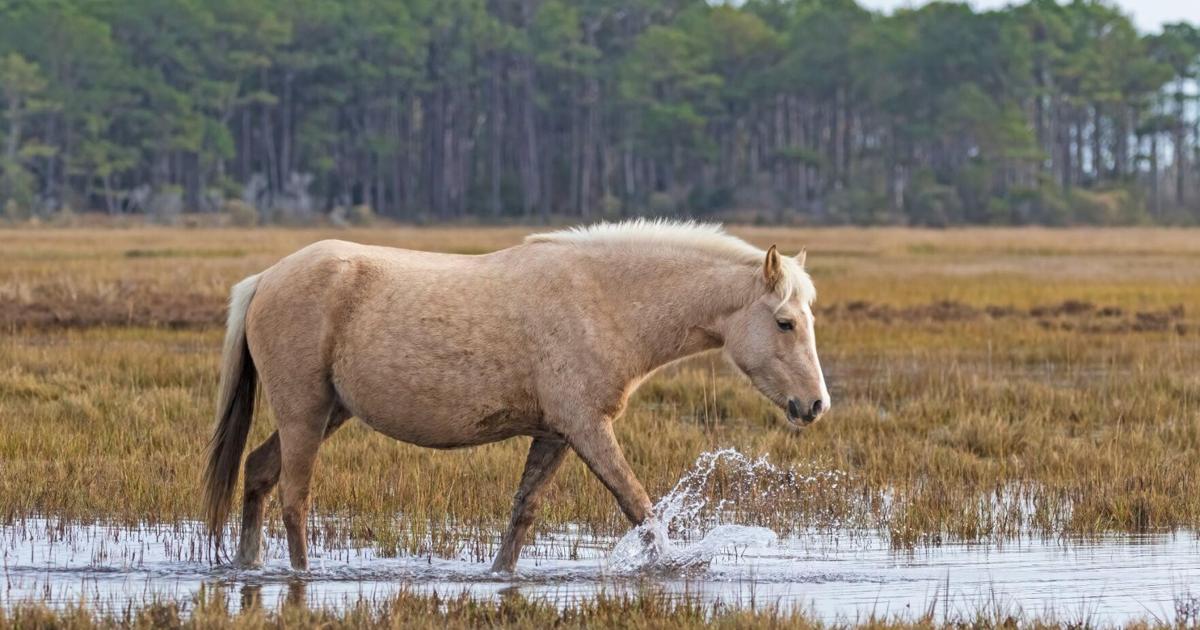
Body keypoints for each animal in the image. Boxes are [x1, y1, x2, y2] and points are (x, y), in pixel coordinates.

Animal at [202, 220, 830, 572]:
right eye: (784, 323)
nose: (816, 405)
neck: (604, 300)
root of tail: (266, 278)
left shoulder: (554, 435)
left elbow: (523, 514)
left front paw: (499, 578)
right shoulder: (587, 429)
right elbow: (640, 508)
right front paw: (675, 569)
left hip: (325, 414)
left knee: (257, 473)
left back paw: (247, 565)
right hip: (304, 415)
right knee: (294, 499)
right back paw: (298, 577)